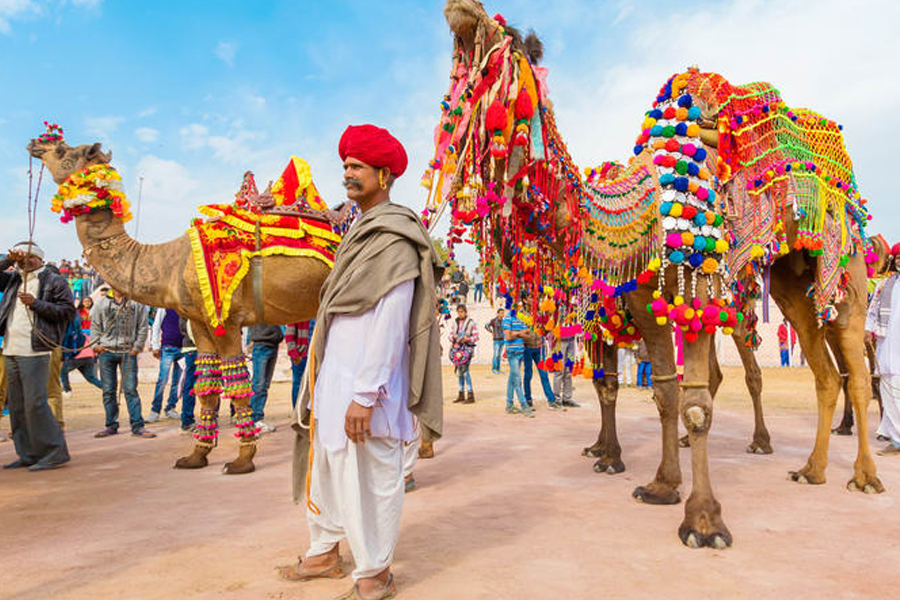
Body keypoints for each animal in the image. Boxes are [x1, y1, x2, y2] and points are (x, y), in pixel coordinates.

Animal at [29, 126, 338, 474]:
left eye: (65, 153)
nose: (37, 143)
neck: (169, 263)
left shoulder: (227, 320)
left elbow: (237, 384)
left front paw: (242, 460)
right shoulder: (200, 321)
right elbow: (206, 387)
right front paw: (196, 455)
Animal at [430, 0, 884, 548]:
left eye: (505, 45)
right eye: (459, 66)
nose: (462, 10)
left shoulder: (696, 289)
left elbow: (693, 404)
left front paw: (703, 521)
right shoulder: (642, 305)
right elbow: (661, 392)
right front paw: (659, 484)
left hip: (839, 265)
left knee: (848, 369)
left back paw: (856, 473)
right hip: (790, 282)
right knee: (824, 372)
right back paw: (811, 469)